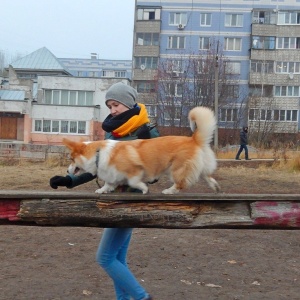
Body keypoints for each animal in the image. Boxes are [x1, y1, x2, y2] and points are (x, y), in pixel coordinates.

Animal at [63, 105, 220, 195]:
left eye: (71, 159)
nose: (66, 170)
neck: (98, 154)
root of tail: (194, 139)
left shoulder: (134, 171)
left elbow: (133, 182)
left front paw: (144, 189)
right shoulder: (112, 174)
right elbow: (109, 184)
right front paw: (102, 190)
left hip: (176, 169)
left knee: (180, 183)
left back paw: (169, 191)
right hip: (199, 166)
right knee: (207, 175)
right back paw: (215, 186)